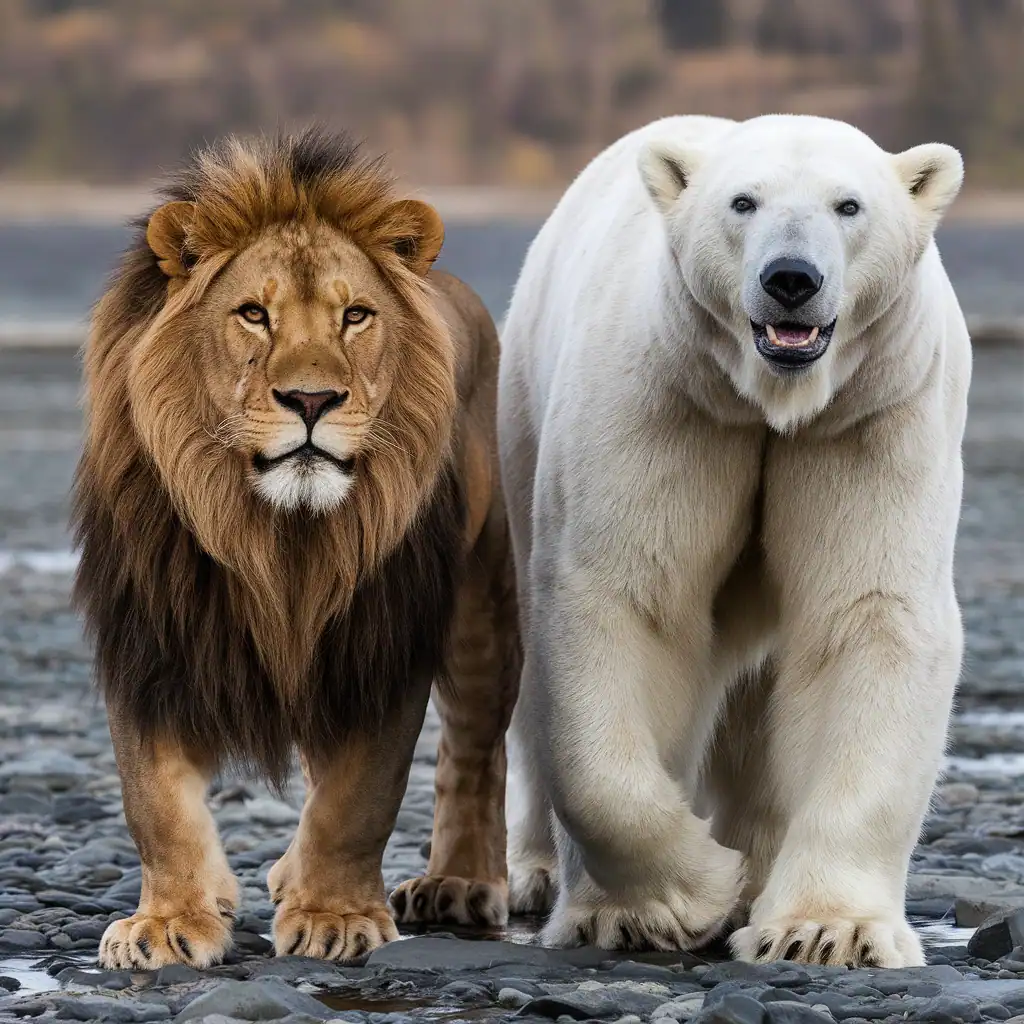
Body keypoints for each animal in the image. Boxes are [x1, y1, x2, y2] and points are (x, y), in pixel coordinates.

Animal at [71, 129, 519, 969]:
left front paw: (335, 916)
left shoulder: (381, 644)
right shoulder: (151, 632)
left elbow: (358, 799)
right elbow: (155, 802)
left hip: (484, 610)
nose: (312, 400)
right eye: (253, 314)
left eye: (355, 316)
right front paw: (170, 921)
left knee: (475, 753)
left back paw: (460, 884)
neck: (280, 539)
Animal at [497, 114, 969, 968]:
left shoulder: (869, 415)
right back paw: (534, 872)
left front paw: (826, 930)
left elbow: (865, 616)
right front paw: (663, 903)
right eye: (743, 202)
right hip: (520, 413)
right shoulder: (667, 402)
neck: (769, 401)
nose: (792, 278)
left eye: (849, 204)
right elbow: (627, 601)